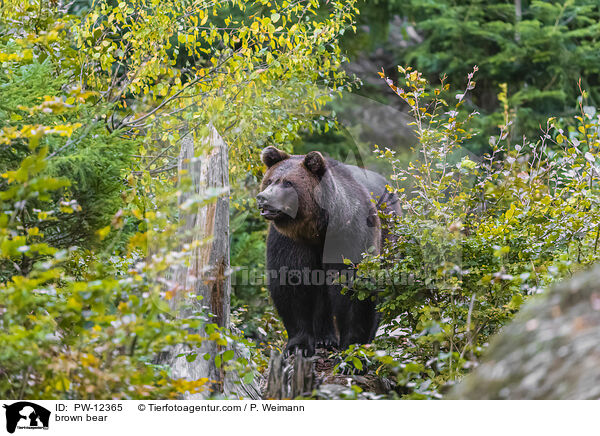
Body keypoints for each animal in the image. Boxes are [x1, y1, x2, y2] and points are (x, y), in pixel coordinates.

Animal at [256, 146, 398, 358]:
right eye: (270, 180)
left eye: (288, 182)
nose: (263, 198)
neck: (318, 228)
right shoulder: (292, 241)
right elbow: (292, 282)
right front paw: (298, 346)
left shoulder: (350, 234)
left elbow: (354, 287)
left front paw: (353, 349)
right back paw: (325, 338)